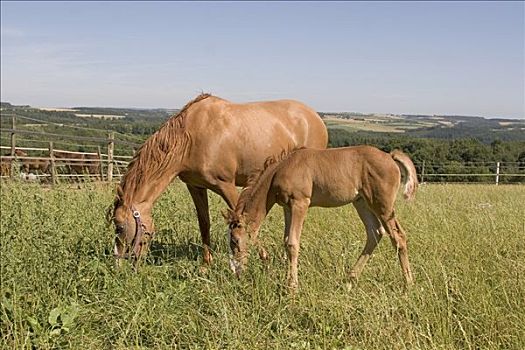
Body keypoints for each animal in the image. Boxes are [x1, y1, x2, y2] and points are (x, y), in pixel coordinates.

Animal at [108, 93, 328, 266]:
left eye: (119, 226)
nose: (119, 263)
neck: (191, 137)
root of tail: (315, 117)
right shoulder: (195, 187)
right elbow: (204, 224)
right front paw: (206, 264)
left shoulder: (226, 185)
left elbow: (244, 220)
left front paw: (263, 258)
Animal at [225, 145, 418, 290]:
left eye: (235, 240)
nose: (237, 272)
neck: (280, 169)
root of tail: (390, 156)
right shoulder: (287, 207)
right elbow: (286, 240)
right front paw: (288, 282)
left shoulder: (300, 203)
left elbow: (292, 243)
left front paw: (292, 287)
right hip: (362, 202)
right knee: (375, 233)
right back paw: (349, 281)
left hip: (382, 205)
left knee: (398, 237)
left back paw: (408, 285)